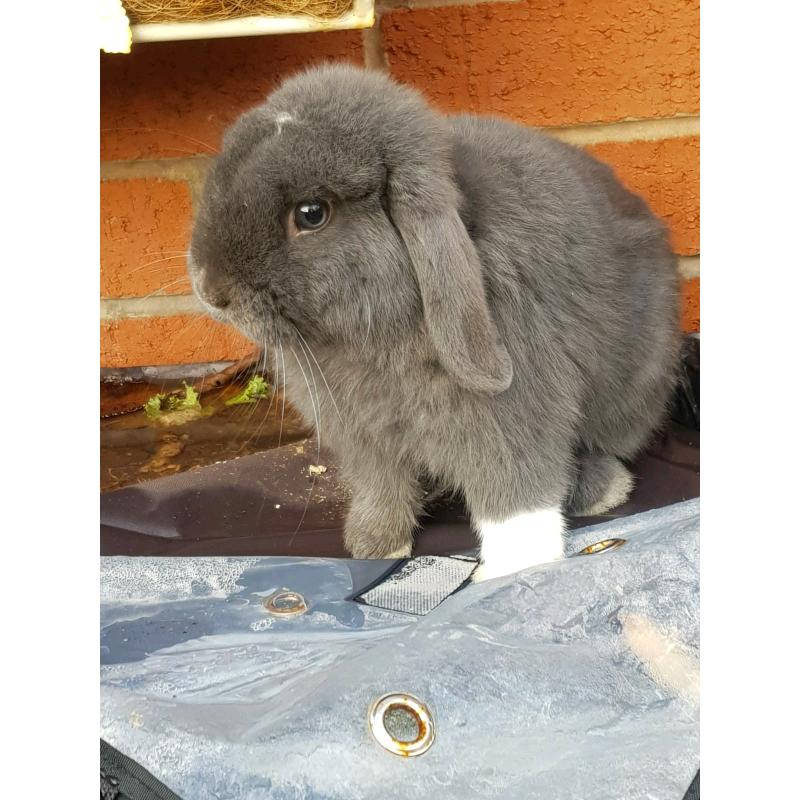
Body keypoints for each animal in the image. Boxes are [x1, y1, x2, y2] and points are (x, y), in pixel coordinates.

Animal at [188, 64, 681, 581]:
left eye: (311, 213)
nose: (210, 289)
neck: (366, 341)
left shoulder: (512, 416)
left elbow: (515, 499)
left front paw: (510, 570)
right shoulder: (366, 440)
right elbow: (380, 488)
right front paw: (376, 544)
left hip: (634, 391)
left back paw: (601, 490)